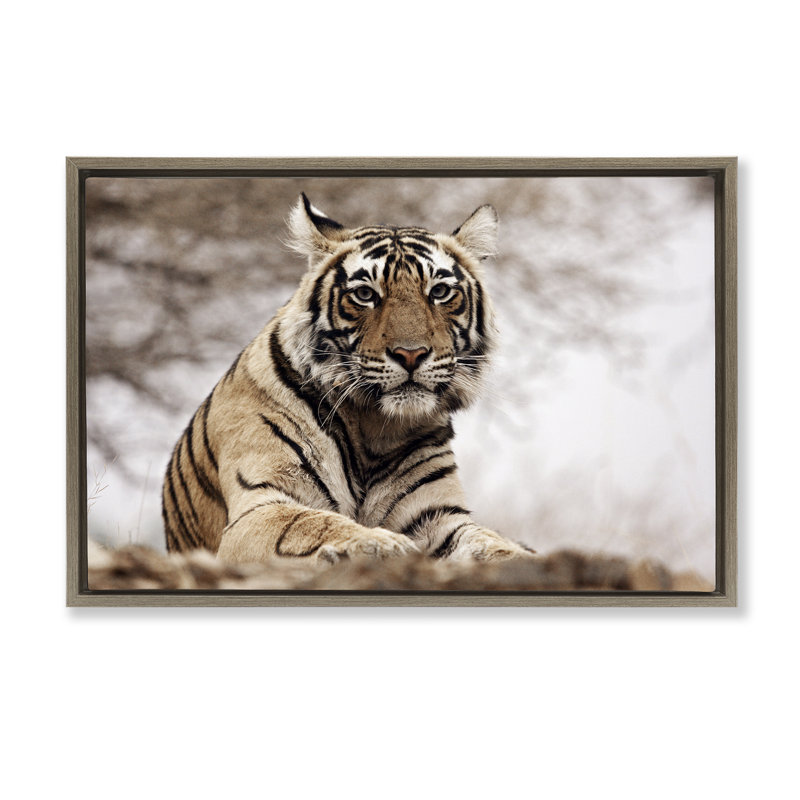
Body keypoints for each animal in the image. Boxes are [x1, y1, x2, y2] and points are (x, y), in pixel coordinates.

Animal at [161, 194, 533, 564]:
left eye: (440, 291)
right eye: (365, 295)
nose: (411, 354)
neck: (375, 428)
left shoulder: (437, 515)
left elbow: (487, 542)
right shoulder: (259, 506)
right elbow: (312, 523)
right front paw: (383, 544)